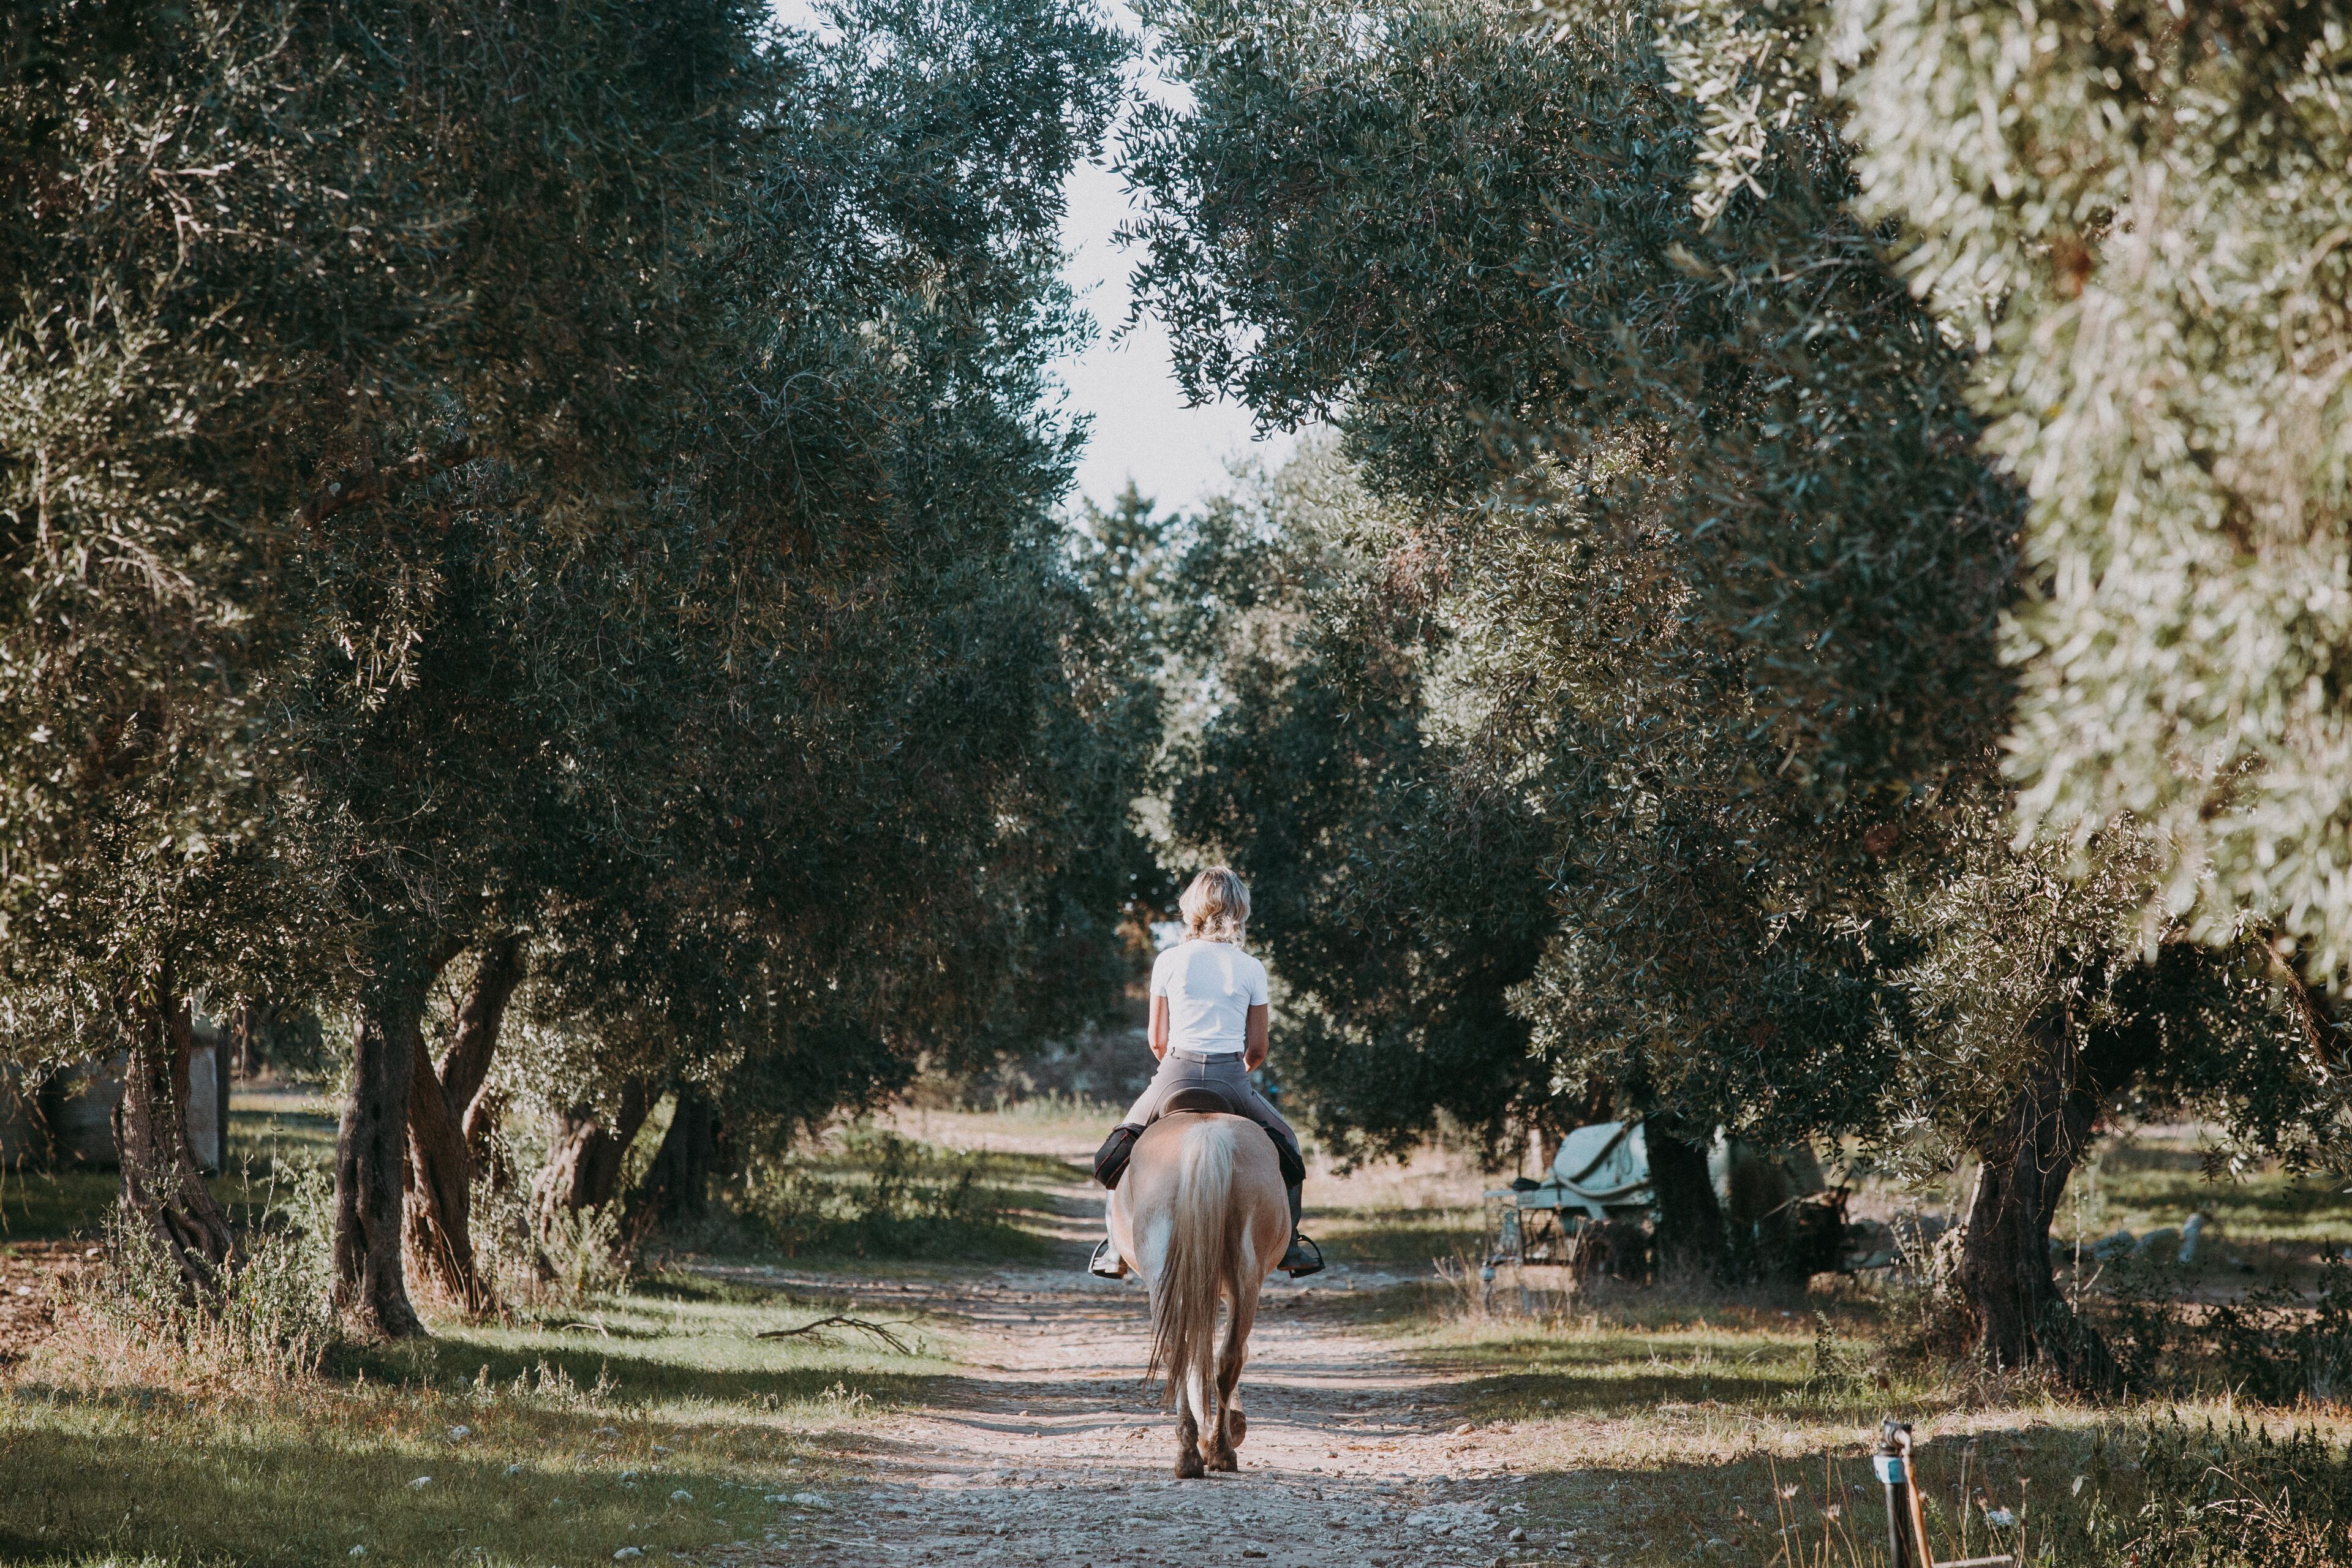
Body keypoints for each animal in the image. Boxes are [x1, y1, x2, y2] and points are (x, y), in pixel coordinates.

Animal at [1107, 1102, 1291, 1478]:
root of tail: (1205, 1138)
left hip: (1168, 1278)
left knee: (1182, 1352)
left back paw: (1197, 1452)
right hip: (1244, 1277)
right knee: (1226, 1357)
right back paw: (1215, 1450)